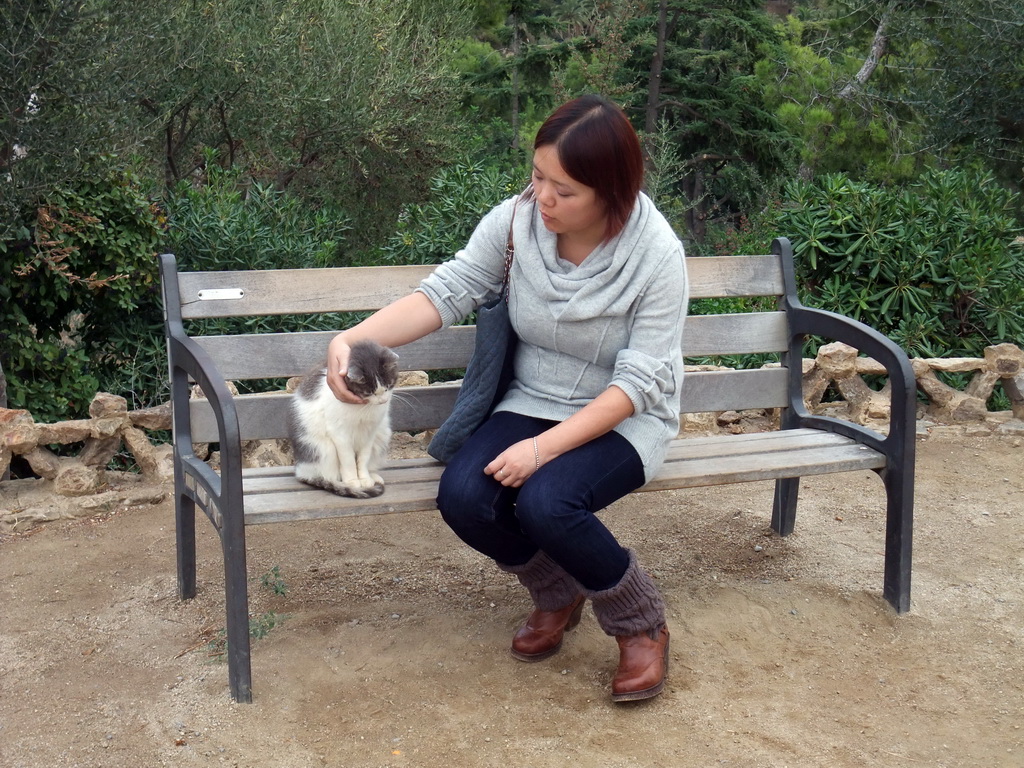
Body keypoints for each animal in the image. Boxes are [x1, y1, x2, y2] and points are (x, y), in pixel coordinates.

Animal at [290, 342, 401, 499]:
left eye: (388, 386)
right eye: (369, 392)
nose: (383, 401)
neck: (364, 407)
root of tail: (300, 470)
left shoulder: (370, 433)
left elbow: (363, 458)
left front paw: (365, 478)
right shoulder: (339, 434)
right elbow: (348, 460)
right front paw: (353, 481)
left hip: (382, 434)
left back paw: (373, 477)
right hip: (323, 448)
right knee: (326, 475)